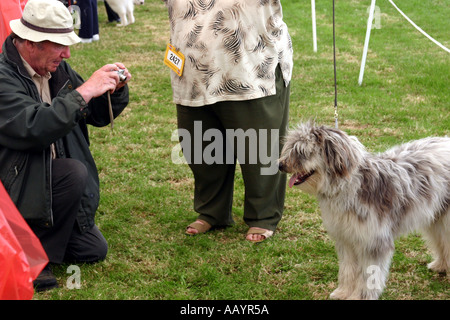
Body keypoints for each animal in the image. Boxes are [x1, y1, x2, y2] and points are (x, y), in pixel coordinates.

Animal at [280, 121, 448, 298]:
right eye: (290, 148)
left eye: (301, 151)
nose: (280, 165)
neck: (347, 186)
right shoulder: (345, 238)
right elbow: (347, 269)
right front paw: (343, 292)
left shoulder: (373, 241)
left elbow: (369, 274)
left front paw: (360, 296)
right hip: (437, 217)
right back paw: (441, 265)